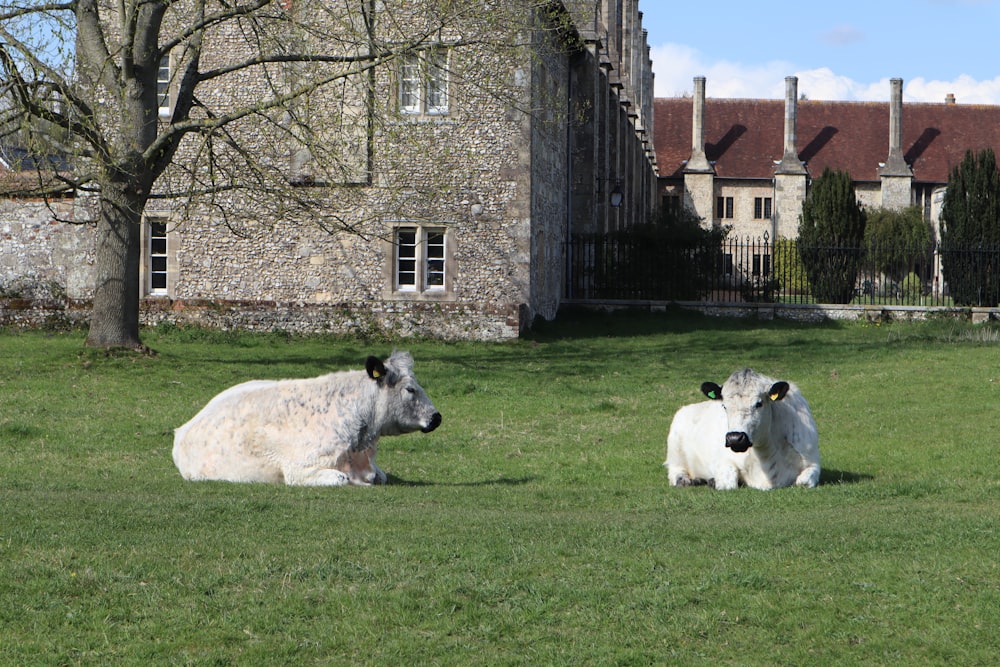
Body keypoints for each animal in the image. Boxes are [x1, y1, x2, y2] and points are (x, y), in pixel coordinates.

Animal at [172, 352, 442, 488]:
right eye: (410, 389)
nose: (436, 417)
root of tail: (183, 429)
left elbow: (380, 476)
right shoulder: (299, 468)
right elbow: (341, 479)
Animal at [664, 368, 820, 494]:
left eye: (759, 404)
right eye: (724, 406)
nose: (735, 438)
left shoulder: (813, 462)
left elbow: (803, 481)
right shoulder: (722, 461)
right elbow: (728, 483)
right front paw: (714, 481)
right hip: (675, 450)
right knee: (676, 471)